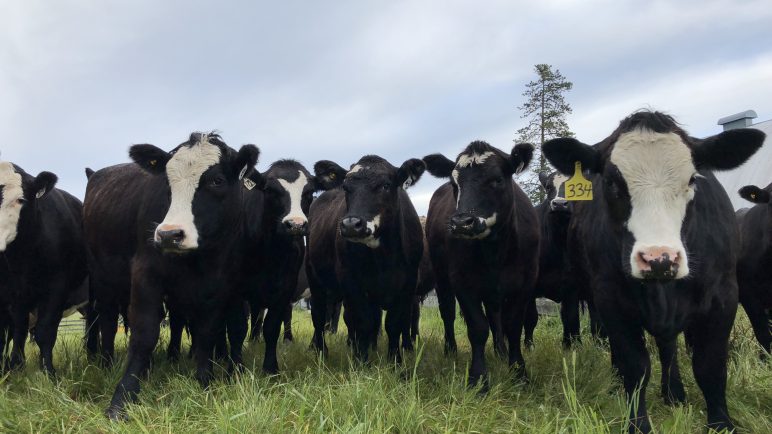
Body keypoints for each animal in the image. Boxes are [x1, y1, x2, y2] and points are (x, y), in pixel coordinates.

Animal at [0, 161, 88, 375]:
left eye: (20, 199)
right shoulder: (15, 293)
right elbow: (19, 330)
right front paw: (16, 367)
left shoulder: (57, 288)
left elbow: (45, 331)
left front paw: (48, 371)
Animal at [83, 132, 259, 420]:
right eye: (167, 182)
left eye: (217, 180)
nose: (169, 235)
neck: (198, 261)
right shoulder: (145, 276)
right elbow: (144, 335)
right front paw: (122, 398)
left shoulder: (219, 286)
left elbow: (206, 334)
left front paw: (204, 383)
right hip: (102, 279)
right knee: (107, 321)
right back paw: (107, 364)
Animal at [307, 155, 425, 363]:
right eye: (346, 187)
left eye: (386, 185)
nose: (351, 224)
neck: (385, 258)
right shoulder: (352, 283)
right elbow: (363, 322)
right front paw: (362, 361)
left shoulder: (408, 285)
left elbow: (394, 324)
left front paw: (395, 361)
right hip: (315, 279)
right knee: (319, 316)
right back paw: (321, 351)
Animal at [423, 141, 539, 390]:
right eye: (454, 183)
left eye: (497, 179)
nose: (461, 223)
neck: (496, 251)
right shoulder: (462, 282)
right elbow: (477, 328)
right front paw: (478, 379)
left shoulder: (526, 283)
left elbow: (512, 326)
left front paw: (519, 373)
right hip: (442, 278)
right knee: (448, 312)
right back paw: (451, 350)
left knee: (495, 316)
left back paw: (501, 352)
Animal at [542, 110, 765, 433]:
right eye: (611, 182)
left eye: (692, 179)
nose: (659, 259)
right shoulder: (610, 298)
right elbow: (635, 367)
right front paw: (638, 424)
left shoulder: (724, 296)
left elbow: (710, 366)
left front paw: (721, 424)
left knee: (668, 346)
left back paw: (674, 392)